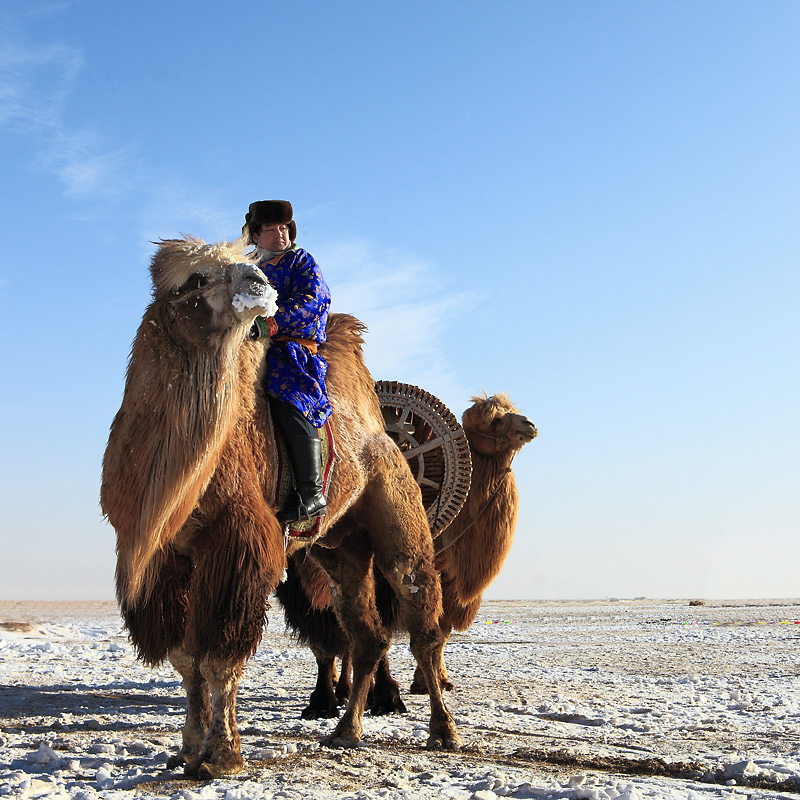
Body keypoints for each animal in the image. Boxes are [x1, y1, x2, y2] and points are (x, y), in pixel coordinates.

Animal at [276, 394, 536, 720]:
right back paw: (341, 689)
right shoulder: (301, 582)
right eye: (496, 420)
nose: (529, 425)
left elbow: (430, 631)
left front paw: (403, 691)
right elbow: (323, 641)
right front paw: (324, 703)